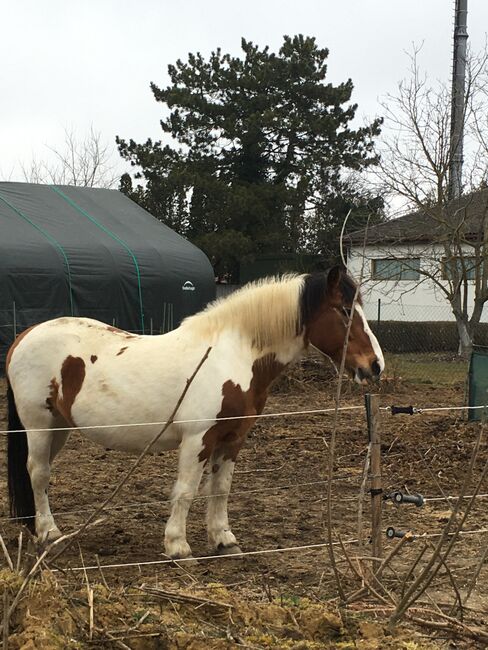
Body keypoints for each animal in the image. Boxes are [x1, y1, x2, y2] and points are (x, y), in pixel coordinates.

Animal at [5, 266, 384, 560]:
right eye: (344, 311)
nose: (375, 365)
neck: (230, 355)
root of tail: (25, 335)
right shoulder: (198, 439)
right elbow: (186, 489)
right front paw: (177, 546)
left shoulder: (232, 439)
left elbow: (221, 489)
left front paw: (224, 541)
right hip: (38, 424)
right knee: (38, 473)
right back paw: (50, 534)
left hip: (59, 427)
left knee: (41, 474)